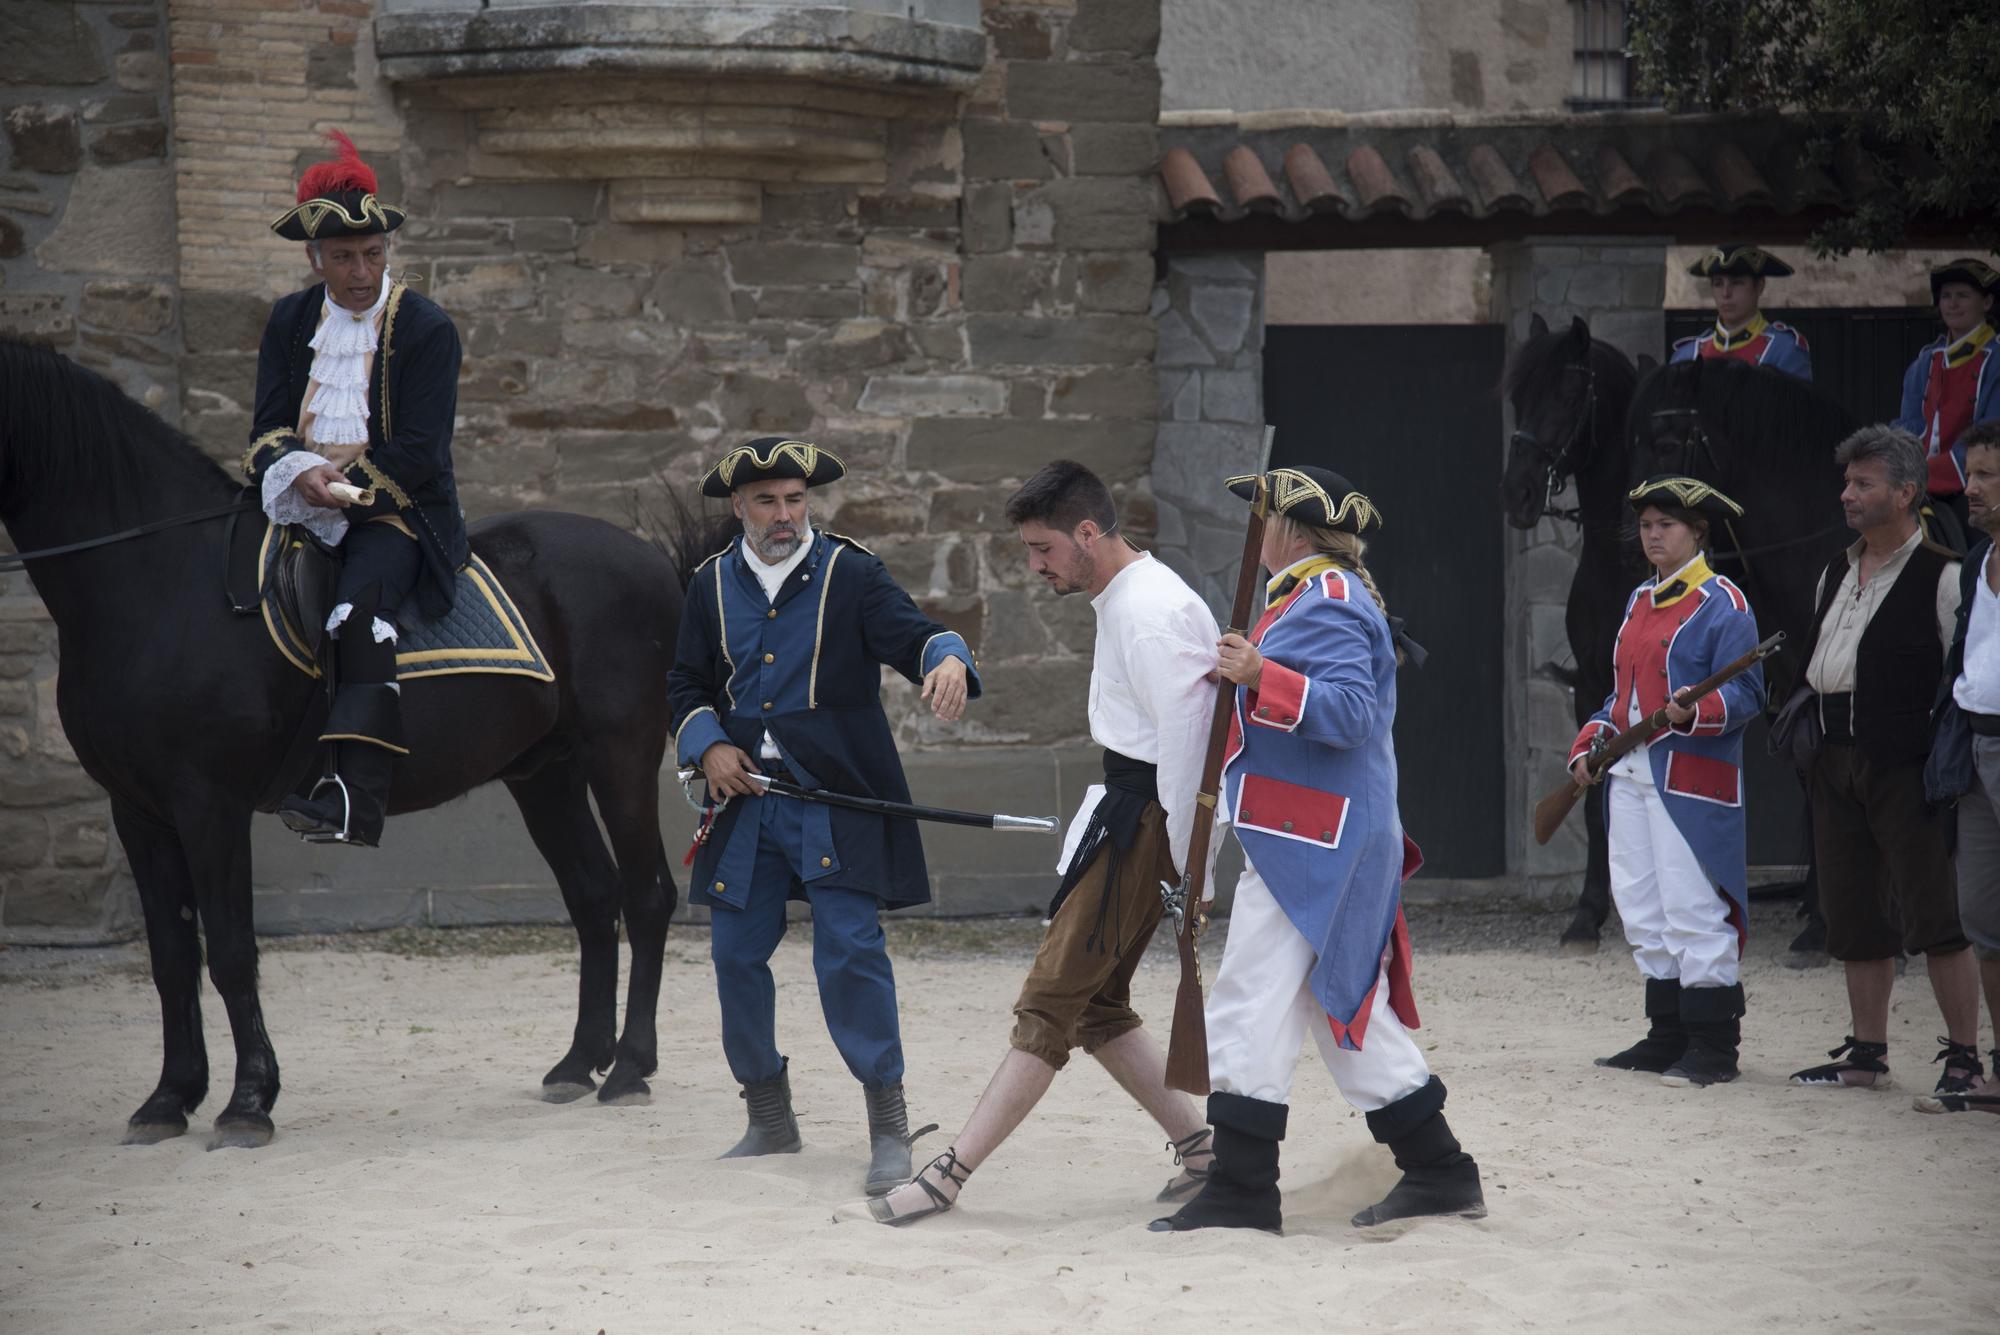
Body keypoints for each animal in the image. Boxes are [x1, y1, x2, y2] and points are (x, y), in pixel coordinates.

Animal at [0, 341, 688, 1151]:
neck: (162, 583)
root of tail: (650, 560)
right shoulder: (137, 809)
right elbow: (171, 955)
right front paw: (169, 1098)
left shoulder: (209, 803)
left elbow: (229, 950)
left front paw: (248, 1102)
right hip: (545, 772)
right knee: (593, 894)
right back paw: (580, 1062)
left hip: (622, 753)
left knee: (647, 895)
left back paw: (630, 1067)